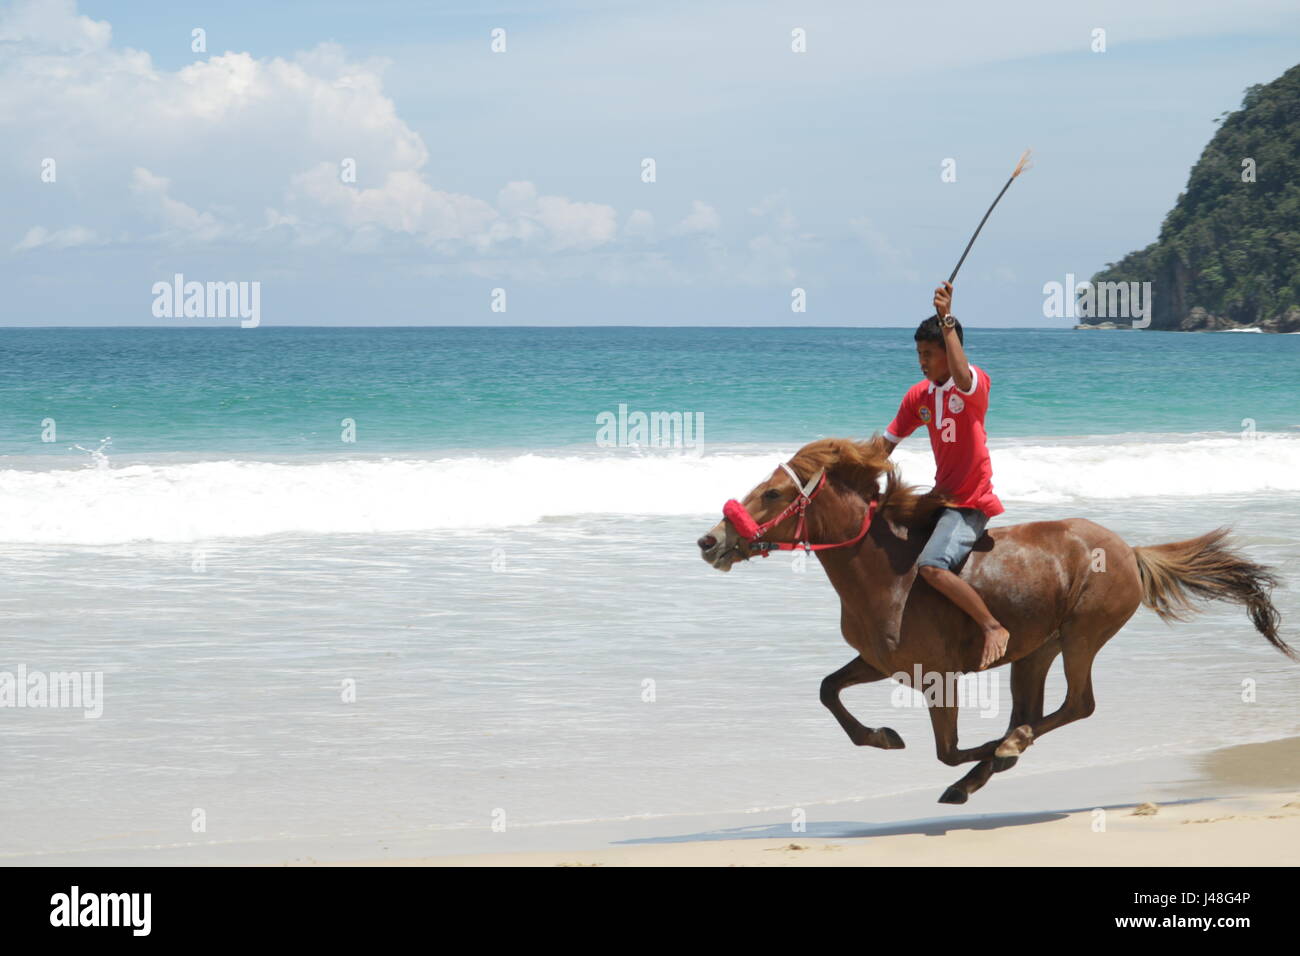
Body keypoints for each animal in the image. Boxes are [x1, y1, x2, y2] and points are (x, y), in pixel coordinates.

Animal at [696, 436, 1295, 803]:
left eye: (774, 492)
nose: (710, 541)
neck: (885, 573)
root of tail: (1129, 549)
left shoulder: (936, 678)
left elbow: (947, 750)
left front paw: (986, 753)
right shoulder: (882, 662)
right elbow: (827, 689)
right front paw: (884, 737)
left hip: (1082, 636)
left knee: (1077, 705)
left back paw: (1006, 750)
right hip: (1037, 650)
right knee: (1039, 709)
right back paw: (995, 759)